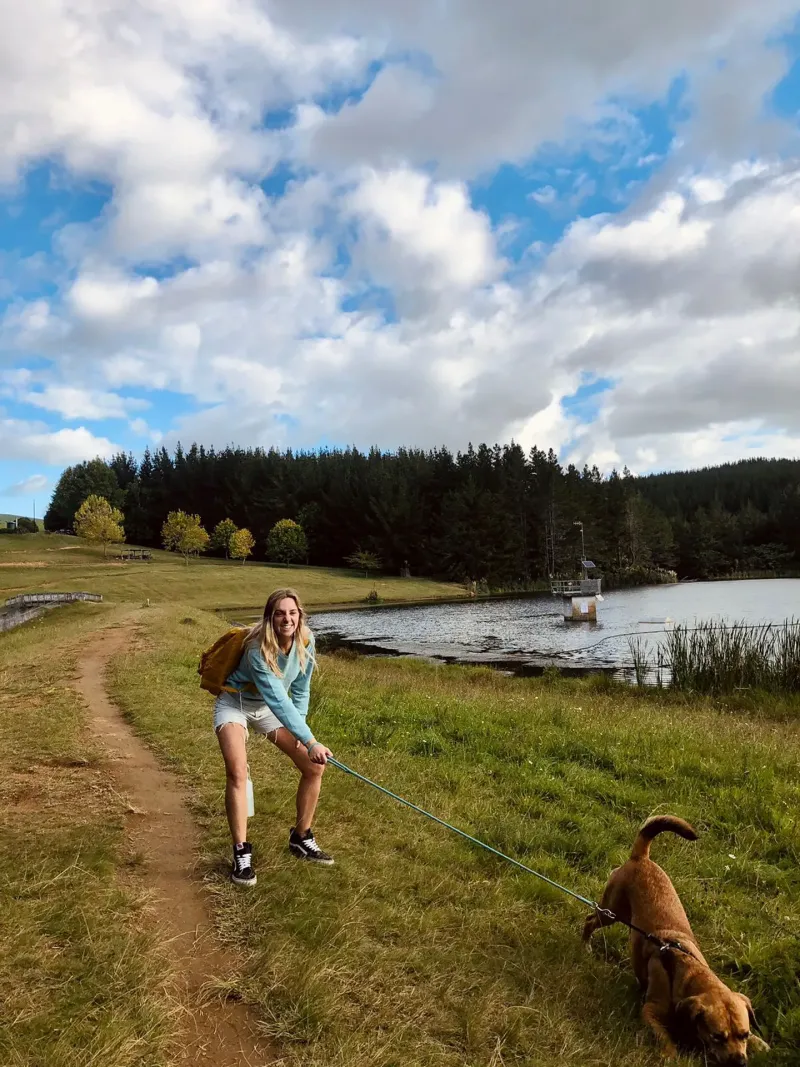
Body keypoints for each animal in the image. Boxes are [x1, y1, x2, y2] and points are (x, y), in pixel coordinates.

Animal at [584, 815, 772, 1058]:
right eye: (717, 1037)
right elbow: (664, 1037)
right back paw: (585, 945)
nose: (739, 1061)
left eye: (744, 1034)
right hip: (612, 911)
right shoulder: (650, 1011)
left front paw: (761, 1044)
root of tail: (640, 858)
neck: (687, 971)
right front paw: (671, 1055)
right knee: (589, 920)